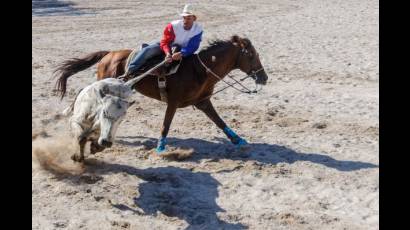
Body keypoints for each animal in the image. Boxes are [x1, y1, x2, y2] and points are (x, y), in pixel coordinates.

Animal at [53, 35, 270, 154]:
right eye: (252, 55)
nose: (264, 77)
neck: (200, 70)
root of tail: (109, 53)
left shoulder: (203, 102)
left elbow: (220, 121)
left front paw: (238, 140)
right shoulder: (172, 103)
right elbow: (166, 125)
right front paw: (160, 148)